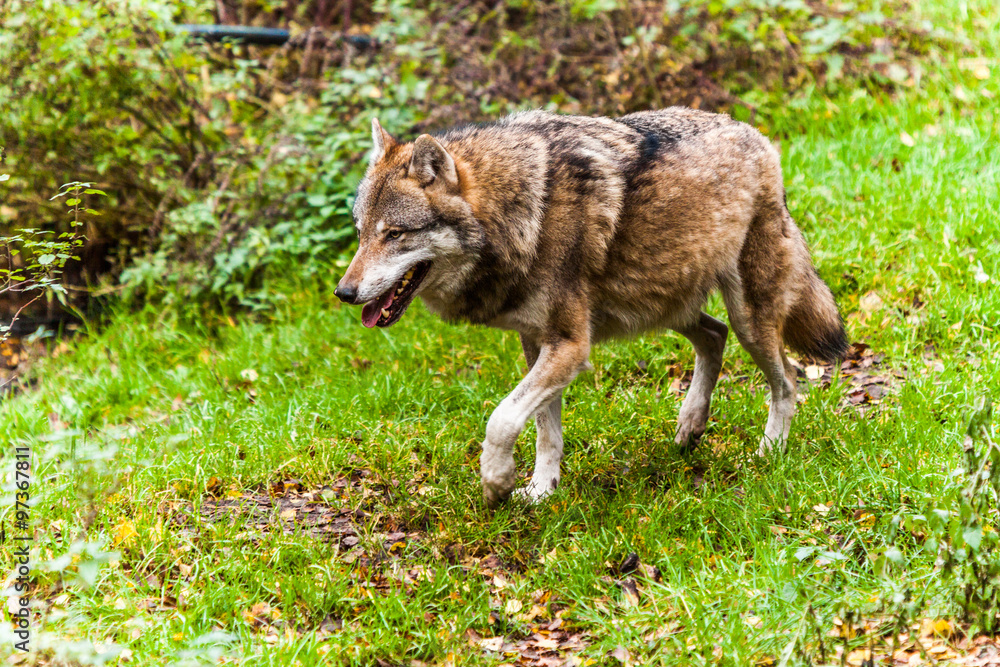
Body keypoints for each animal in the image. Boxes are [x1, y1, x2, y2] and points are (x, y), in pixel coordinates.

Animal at [335, 108, 847, 508]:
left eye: (394, 234)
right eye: (360, 233)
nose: (344, 292)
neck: (522, 212)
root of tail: (759, 137)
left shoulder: (569, 345)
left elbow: (501, 420)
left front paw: (497, 483)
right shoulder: (537, 342)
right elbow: (544, 430)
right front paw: (541, 490)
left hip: (748, 317)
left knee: (787, 379)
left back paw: (770, 452)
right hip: (668, 308)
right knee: (713, 336)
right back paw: (690, 427)